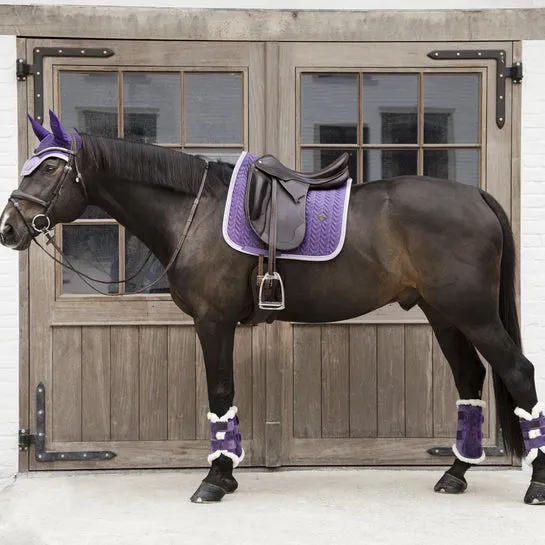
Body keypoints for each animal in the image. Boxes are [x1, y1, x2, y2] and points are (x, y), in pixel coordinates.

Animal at [3, 111, 544, 506]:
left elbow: (220, 393)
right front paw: (226, 474)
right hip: (443, 313)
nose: (9, 227)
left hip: (472, 312)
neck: (194, 214)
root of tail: (476, 194)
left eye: (49, 168)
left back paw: (535, 484)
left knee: (517, 370)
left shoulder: (214, 321)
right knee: (471, 378)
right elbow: (225, 396)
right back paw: (455, 473)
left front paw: (215, 480)